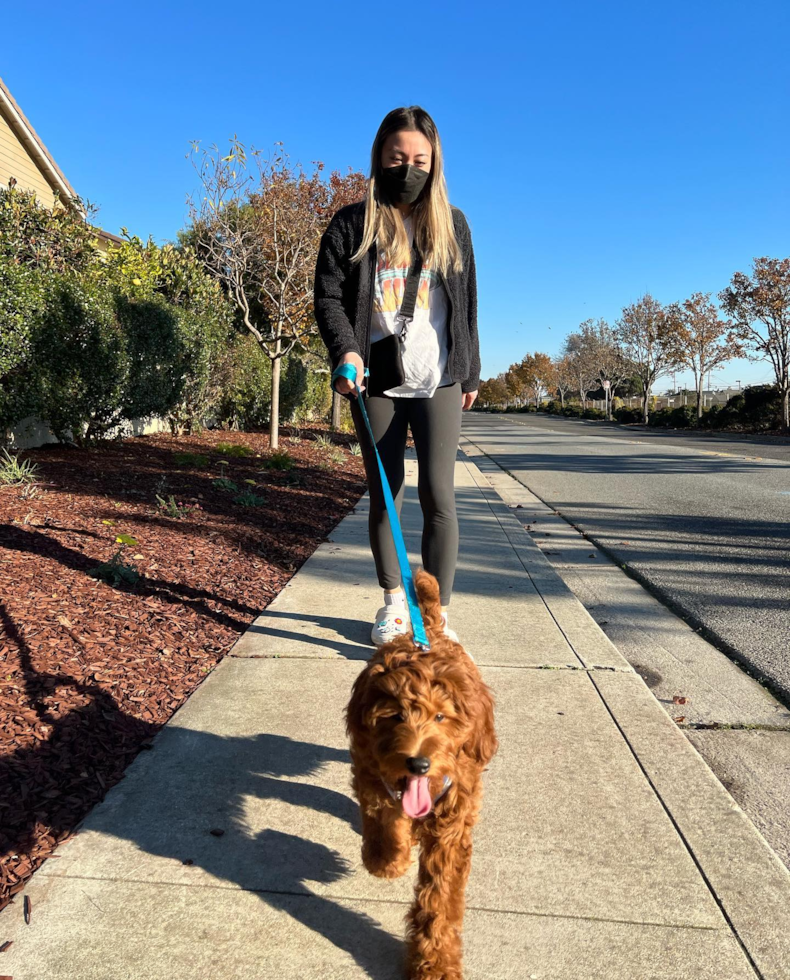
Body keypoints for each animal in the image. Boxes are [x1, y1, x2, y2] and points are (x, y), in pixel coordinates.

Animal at [344, 572, 498, 976]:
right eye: (395, 717)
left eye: (441, 717)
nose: (418, 764)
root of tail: (426, 632)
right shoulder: (370, 773)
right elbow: (384, 821)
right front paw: (387, 861)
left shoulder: (451, 825)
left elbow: (439, 901)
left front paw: (436, 965)